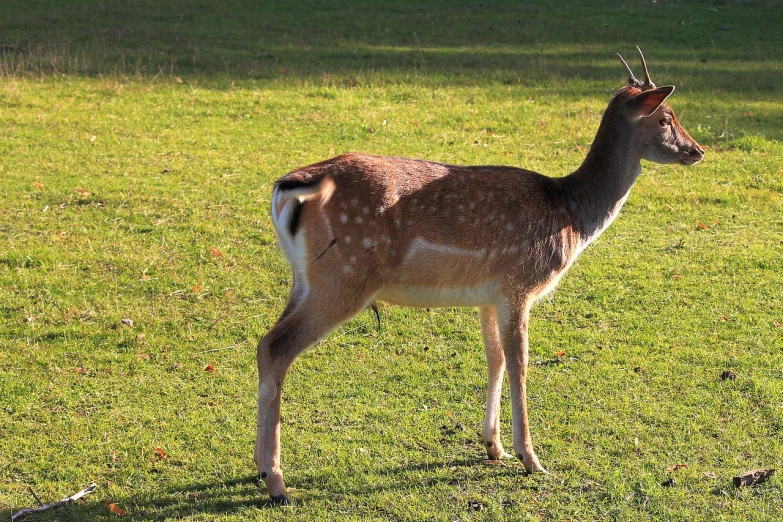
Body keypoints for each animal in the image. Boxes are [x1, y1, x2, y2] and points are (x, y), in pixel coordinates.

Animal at [256, 47, 704, 500]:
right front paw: (531, 459)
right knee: (277, 346)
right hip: (343, 276)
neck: (571, 215)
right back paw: (276, 480)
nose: (698, 150)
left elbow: (495, 358)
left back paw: (261, 469)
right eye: (665, 118)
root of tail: (288, 187)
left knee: (265, 344)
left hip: (304, 279)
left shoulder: (489, 295)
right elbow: (520, 361)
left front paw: (494, 446)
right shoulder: (519, 282)